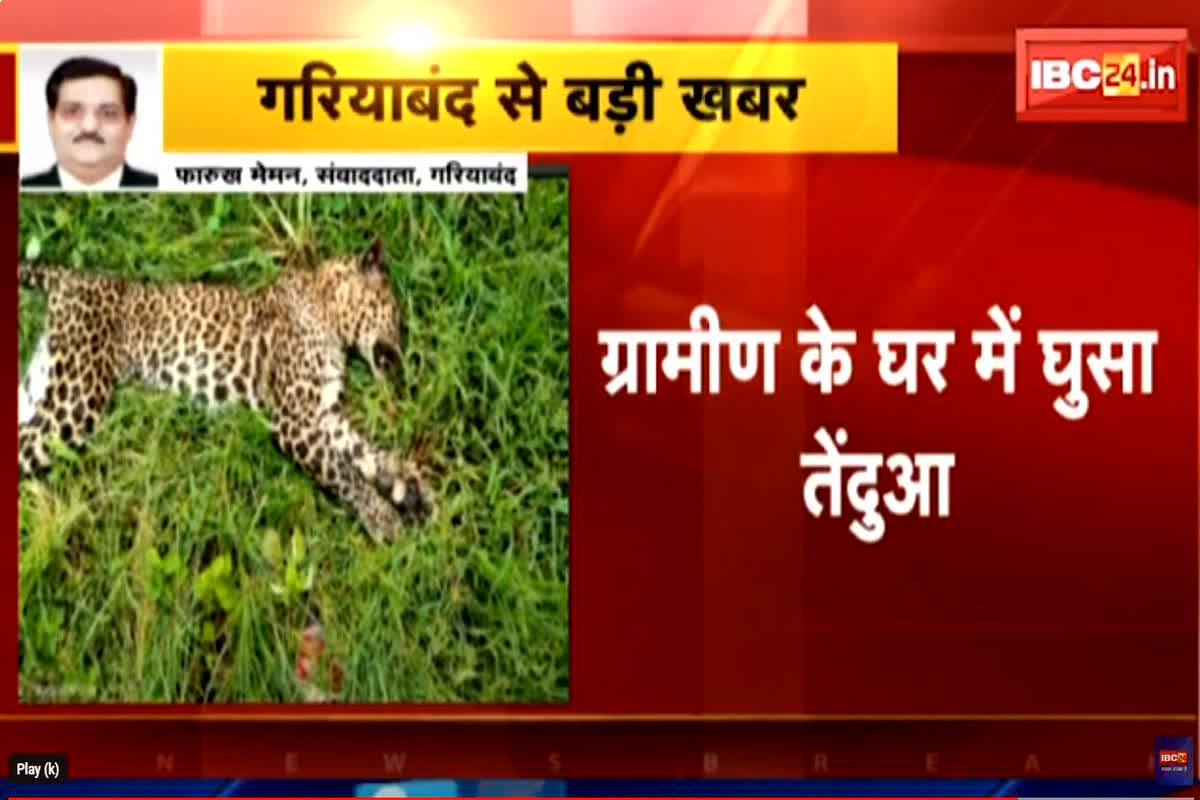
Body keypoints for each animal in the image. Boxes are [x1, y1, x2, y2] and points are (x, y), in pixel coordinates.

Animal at [17, 238, 434, 542]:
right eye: (396, 317)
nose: (402, 362)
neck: (325, 307)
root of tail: (74, 277)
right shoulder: (296, 421)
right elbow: (345, 474)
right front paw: (383, 518)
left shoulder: (323, 414)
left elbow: (367, 452)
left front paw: (410, 489)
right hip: (77, 399)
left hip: (40, 384)